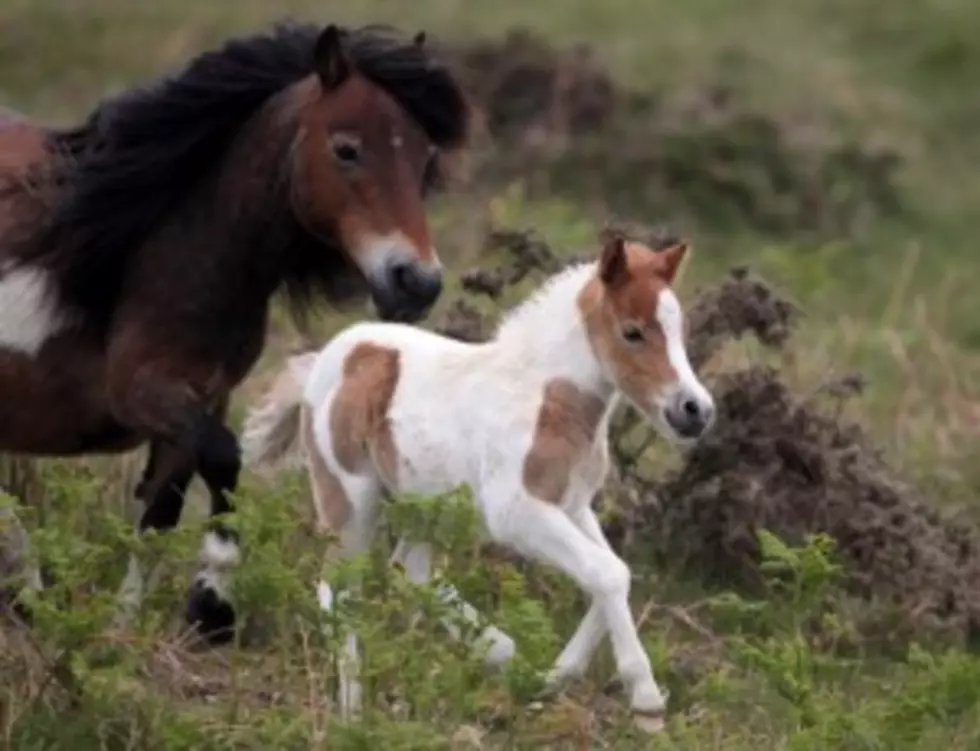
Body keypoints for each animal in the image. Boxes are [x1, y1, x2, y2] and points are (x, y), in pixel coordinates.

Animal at [0, 23, 470, 644]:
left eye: (424, 160)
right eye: (346, 149)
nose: (416, 282)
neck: (163, 253)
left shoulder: (203, 398)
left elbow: (160, 516)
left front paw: (134, 631)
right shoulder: (142, 392)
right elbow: (224, 459)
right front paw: (213, 605)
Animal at [241, 234, 716, 728]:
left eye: (679, 331)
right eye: (632, 332)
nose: (694, 411)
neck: (545, 397)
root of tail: (323, 360)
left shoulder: (572, 505)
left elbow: (609, 575)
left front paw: (551, 678)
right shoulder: (517, 512)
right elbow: (608, 574)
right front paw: (646, 698)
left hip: (425, 507)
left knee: (409, 570)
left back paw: (500, 651)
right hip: (350, 496)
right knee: (340, 585)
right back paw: (353, 713)